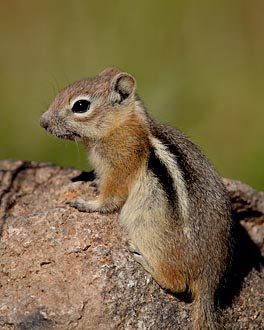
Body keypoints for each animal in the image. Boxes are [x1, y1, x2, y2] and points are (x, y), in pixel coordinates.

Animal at [40, 67, 232, 330]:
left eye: (80, 106)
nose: (43, 122)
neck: (121, 124)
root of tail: (210, 275)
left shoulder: (119, 166)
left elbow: (110, 198)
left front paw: (85, 204)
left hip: (148, 230)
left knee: (178, 283)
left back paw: (144, 259)